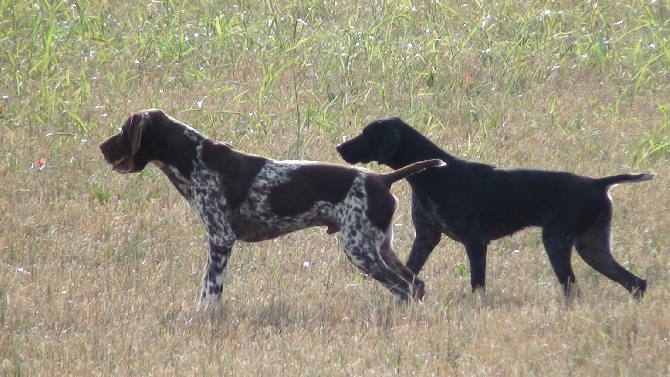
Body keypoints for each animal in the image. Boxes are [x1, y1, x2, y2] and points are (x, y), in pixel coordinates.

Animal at [100, 108, 446, 308]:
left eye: (123, 130)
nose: (101, 147)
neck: (193, 157)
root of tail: (383, 178)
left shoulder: (221, 239)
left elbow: (210, 291)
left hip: (360, 249)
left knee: (402, 287)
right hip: (380, 247)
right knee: (415, 284)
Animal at [338, 117, 652, 296]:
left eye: (367, 134)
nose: (340, 148)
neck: (433, 175)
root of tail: (598, 183)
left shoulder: (475, 242)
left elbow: (477, 286)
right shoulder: (426, 237)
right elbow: (410, 272)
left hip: (557, 242)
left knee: (572, 287)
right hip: (592, 249)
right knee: (636, 283)